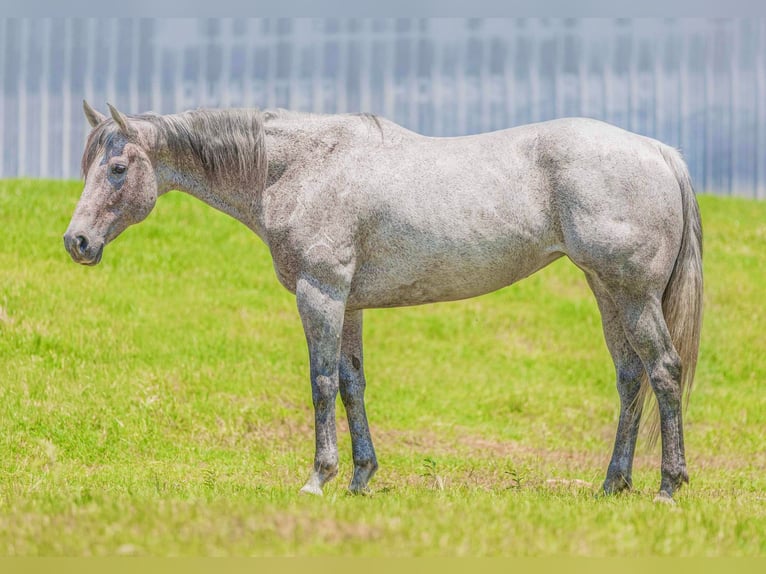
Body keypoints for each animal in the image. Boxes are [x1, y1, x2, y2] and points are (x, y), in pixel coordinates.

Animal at [65, 101, 702, 501]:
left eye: (118, 168)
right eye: (86, 164)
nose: (78, 242)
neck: (300, 167)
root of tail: (658, 151)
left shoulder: (320, 294)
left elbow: (322, 383)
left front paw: (318, 478)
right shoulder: (348, 304)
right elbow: (352, 384)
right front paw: (360, 477)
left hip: (633, 294)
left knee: (664, 372)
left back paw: (668, 487)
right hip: (607, 291)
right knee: (630, 377)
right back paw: (612, 484)